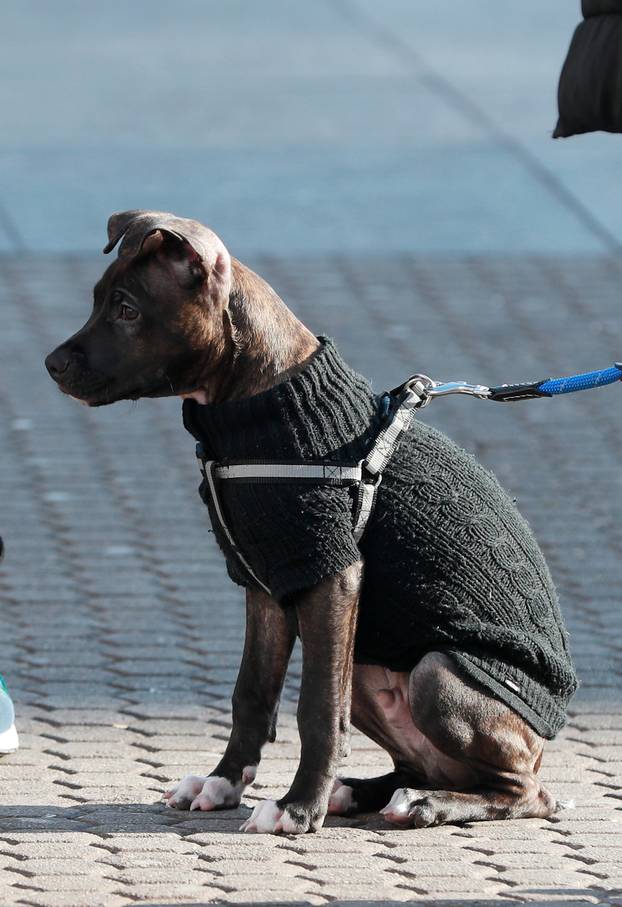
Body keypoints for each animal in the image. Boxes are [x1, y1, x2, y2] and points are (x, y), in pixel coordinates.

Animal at [46, 211, 560, 836]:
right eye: (98, 300)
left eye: (126, 310)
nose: (51, 365)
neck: (255, 406)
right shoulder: (266, 578)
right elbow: (252, 691)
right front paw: (223, 782)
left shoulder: (332, 574)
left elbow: (316, 706)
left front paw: (297, 806)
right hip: (367, 663)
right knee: (424, 763)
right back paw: (361, 792)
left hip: (436, 674)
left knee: (524, 791)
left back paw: (423, 803)